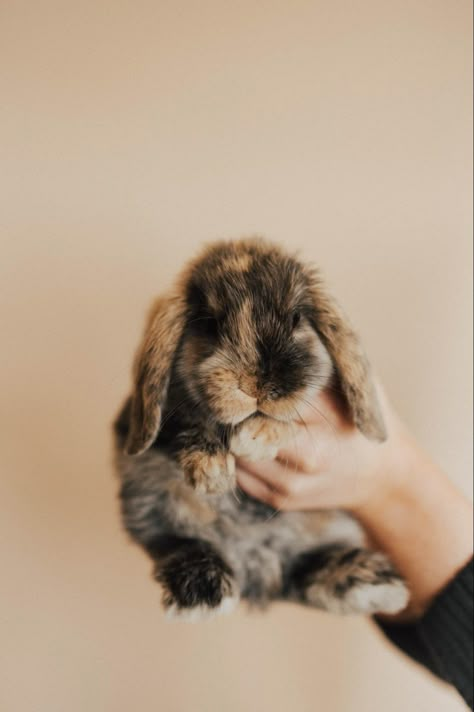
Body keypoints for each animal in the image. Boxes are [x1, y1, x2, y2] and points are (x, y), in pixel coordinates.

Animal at [113, 236, 410, 620]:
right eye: (209, 323)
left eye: (297, 317)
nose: (254, 384)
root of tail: (256, 564)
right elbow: (190, 419)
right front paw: (212, 474)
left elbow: (291, 416)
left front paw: (252, 440)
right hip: (153, 501)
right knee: (179, 543)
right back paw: (202, 595)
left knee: (304, 568)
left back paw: (374, 583)